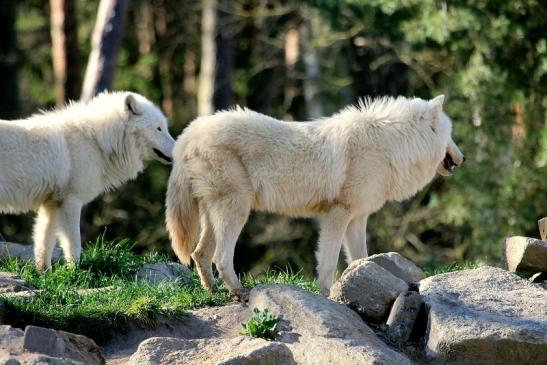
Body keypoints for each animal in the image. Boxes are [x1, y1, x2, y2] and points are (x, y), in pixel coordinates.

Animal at [0, 91, 176, 270]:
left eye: (164, 127)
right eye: (159, 128)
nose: (177, 150)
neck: (97, 141)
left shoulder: (51, 204)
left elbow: (44, 243)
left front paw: (45, 272)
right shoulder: (71, 202)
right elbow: (74, 244)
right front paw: (74, 271)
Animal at [166, 94, 462, 298]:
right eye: (451, 135)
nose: (462, 158)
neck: (391, 145)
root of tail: (187, 136)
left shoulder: (357, 218)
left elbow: (359, 258)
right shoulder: (338, 215)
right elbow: (328, 263)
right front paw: (327, 296)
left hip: (214, 215)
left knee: (199, 254)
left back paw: (213, 293)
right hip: (237, 210)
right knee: (221, 257)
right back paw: (240, 293)